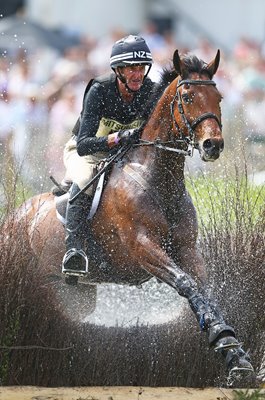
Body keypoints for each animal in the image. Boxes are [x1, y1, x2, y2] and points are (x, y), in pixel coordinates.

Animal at [10, 49, 254, 378]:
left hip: (75, 292)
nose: (212, 145)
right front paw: (222, 338)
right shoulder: (142, 247)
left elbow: (204, 289)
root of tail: (16, 215)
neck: (158, 179)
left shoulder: (186, 249)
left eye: (219, 97)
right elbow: (186, 283)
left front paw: (234, 352)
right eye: (187, 96)